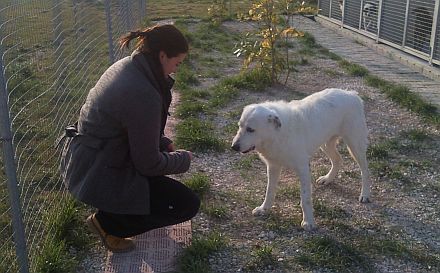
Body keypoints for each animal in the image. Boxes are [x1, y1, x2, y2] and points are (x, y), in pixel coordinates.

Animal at [230, 88, 372, 230]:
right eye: (239, 126)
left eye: (250, 129)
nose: (233, 147)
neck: (278, 134)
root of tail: (351, 93)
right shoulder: (273, 166)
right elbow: (269, 191)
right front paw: (264, 209)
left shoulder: (303, 168)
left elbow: (305, 198)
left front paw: (308, 222)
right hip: (326, 144)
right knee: (338, 159)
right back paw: (327, 179)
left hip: (355, 145)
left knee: (365, 170)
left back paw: (365, 194)